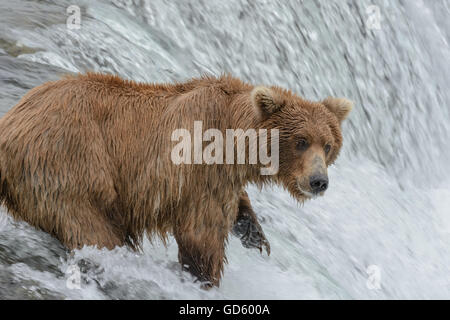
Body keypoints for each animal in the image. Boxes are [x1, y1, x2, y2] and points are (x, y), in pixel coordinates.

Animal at [0, 73, 354, 288]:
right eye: (301, 141)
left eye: (328, 145)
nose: (319, 181)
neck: (236, 144)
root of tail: (10, 121)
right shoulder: (199, 170)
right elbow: (201, 234)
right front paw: (205, 280)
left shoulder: (222, 177)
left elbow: (236, 206)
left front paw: (256, 235)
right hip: (70, 165)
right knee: (94, 231)